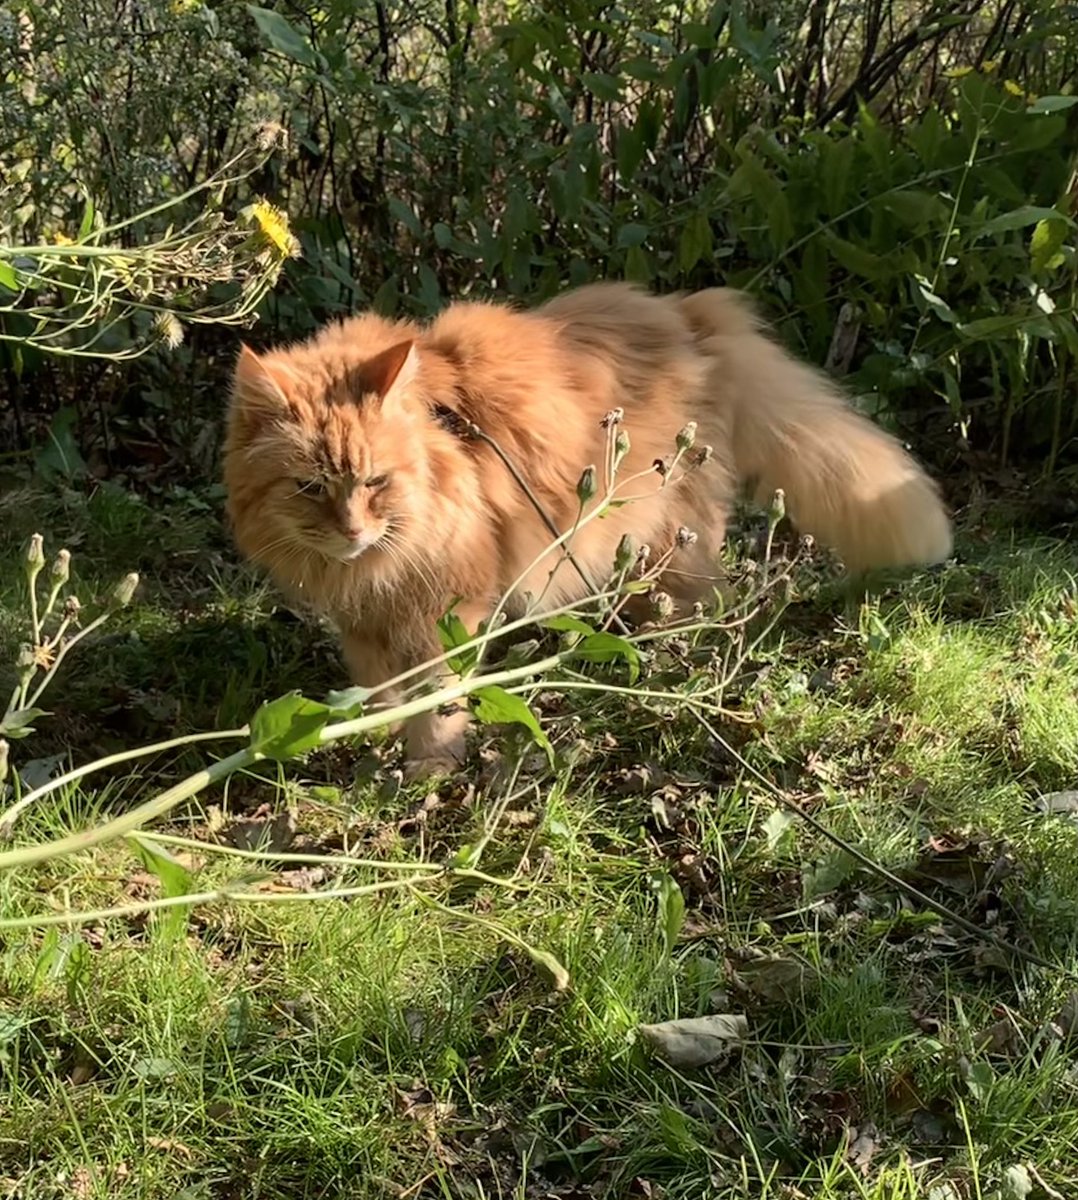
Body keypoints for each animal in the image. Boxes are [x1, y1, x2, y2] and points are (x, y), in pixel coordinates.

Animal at [224, 280, 950, 772]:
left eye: (374, 482)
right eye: (311, 488)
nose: (351, 531)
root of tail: (688, 315)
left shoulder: (444, 614)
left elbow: (435, 703)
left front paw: (427, 764)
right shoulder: (368, 622)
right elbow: (380, 694)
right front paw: (364, 736)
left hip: (674, 546)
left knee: (710, 609)